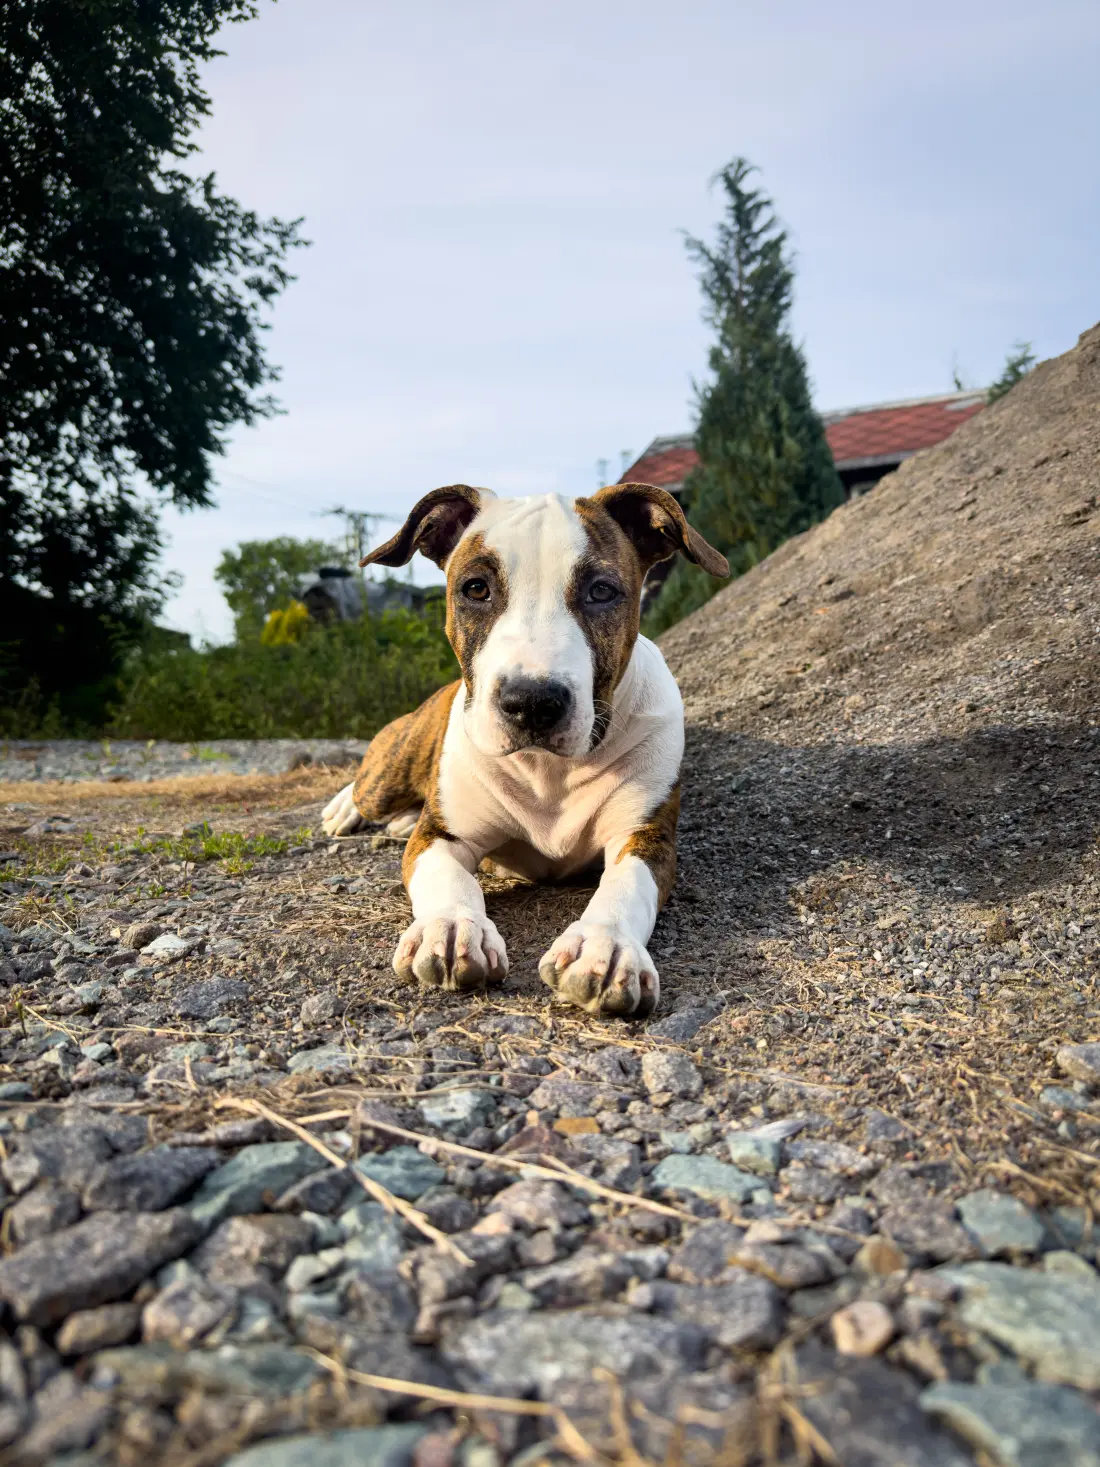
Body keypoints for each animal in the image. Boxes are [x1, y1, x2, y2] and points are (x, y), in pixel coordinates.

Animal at [321, 482, 728, 1018]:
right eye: (476, 589)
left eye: (602, 591)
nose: (532, 702)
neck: (546, 771)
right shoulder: (441, 837)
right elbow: (449, 879)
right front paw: (452, 927)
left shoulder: (645, 837)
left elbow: (626, 887)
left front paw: (604, 947)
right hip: (388, 775)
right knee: (367, 785)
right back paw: (344, 810)